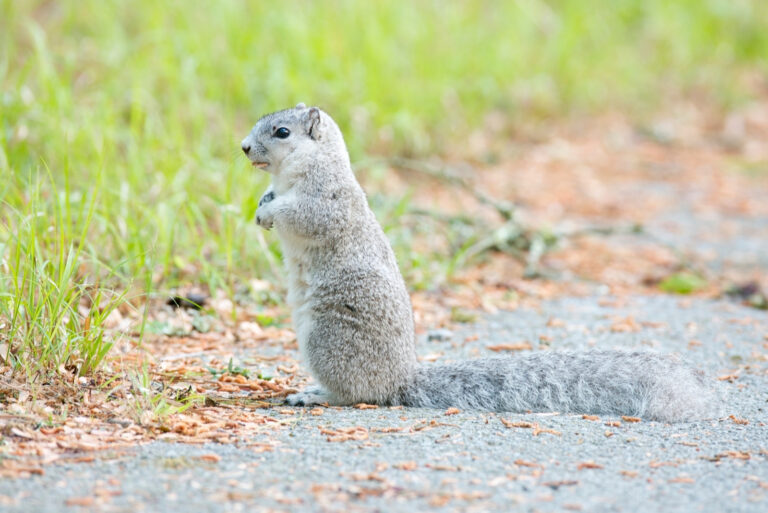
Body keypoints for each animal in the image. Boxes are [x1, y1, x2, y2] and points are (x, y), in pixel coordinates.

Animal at [241, 104, 721, 423]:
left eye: (281, 132)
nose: (244, 147)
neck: (305, 167)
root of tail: (399, 378)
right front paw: (261, 205)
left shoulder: (327, 202)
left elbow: (303, 216)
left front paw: (270, 213)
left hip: (329, 339)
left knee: (357, 393)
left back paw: (315, 395)